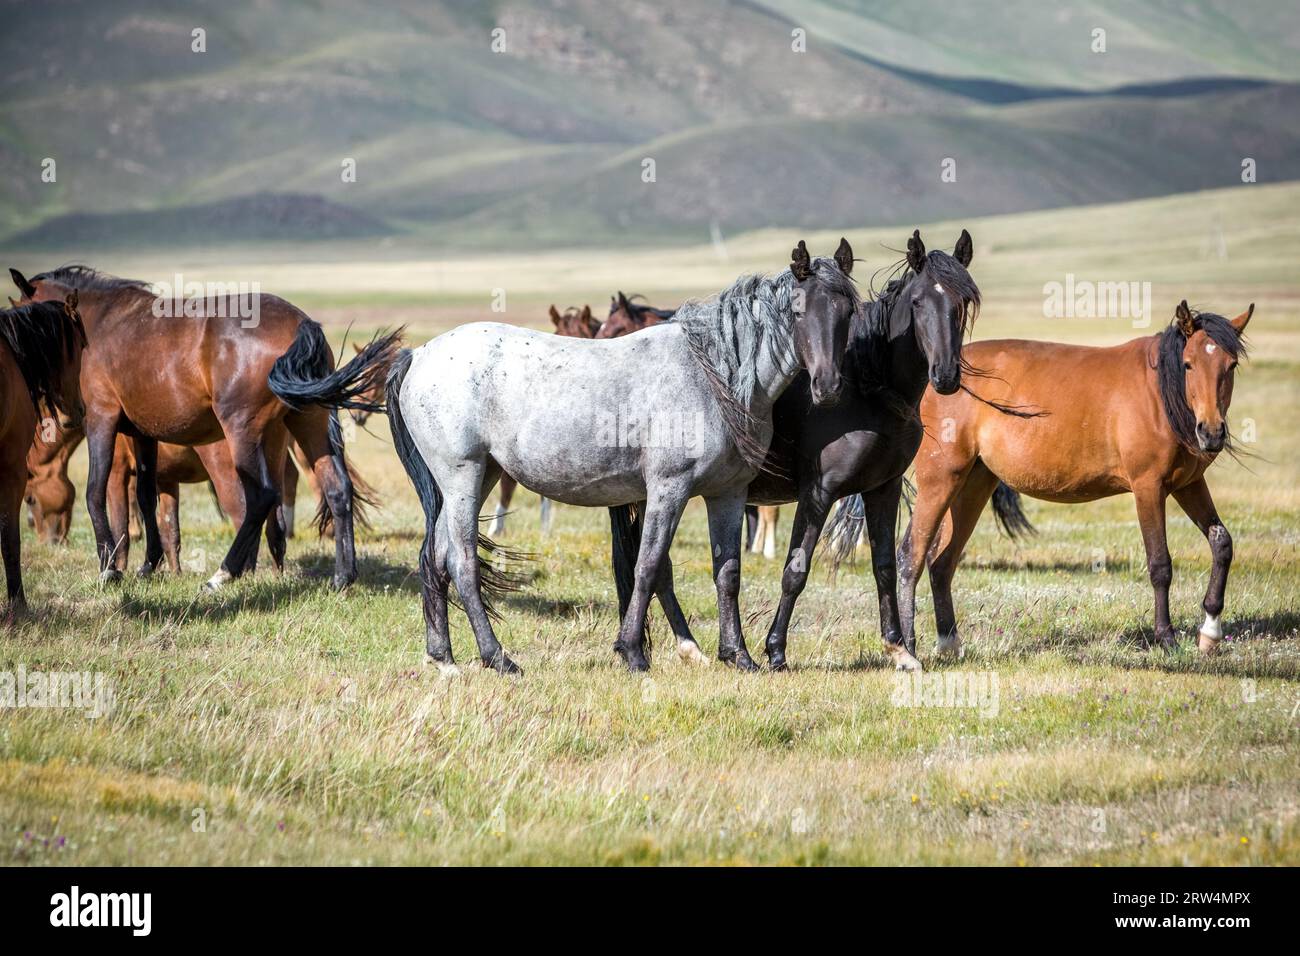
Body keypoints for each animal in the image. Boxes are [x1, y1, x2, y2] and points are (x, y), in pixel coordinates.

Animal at [9, 266, 399, 591]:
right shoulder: (143, 435)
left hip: (241, 431)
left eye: (30, 498)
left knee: (260, 498)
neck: (99, 322)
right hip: (306, 423)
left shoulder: (102, 422)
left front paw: (110, 569)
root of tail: (299, 323)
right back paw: (341, 578)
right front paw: (148, 565)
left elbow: (95, 492)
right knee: (336, 487)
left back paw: (223, 574)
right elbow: (148, 499)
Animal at [388, 239, 859, 674]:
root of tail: (418, 355)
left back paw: (444, 657)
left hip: (481, 476)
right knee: (463, 562)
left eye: (848, 312)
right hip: (462, 478)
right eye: (797, 312)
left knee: (436, 558)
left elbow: (727, 572)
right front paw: (633, 652)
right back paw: (498, 658)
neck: (712, 375)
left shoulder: (728, 494)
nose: (829, 387)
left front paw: (739, 656)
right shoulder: (668, 490)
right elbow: (648, 566)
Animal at [616, 230, 979, 671]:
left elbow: (885, 567)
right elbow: (795, 570)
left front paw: (898, 649)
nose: (945, 376)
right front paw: (775, 651)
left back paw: (691, 648)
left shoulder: (883, 489)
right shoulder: (818, 492)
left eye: (963, 302)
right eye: (918, 302)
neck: (866, 390)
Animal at [897, 300, 1253, 659]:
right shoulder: (1148, 488)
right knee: (911, 555)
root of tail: (937, 380)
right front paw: (1166, 637)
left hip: (972, 484)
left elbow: (1222, 543)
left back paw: (948, 643)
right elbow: (1160, 564)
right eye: (1188, 364)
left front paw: (1210, 632)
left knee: (942, 562)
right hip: (940, 481)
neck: (1161, 395)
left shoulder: (1188, 485)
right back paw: (907, 647)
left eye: (1231, 364)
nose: (1211, 432)